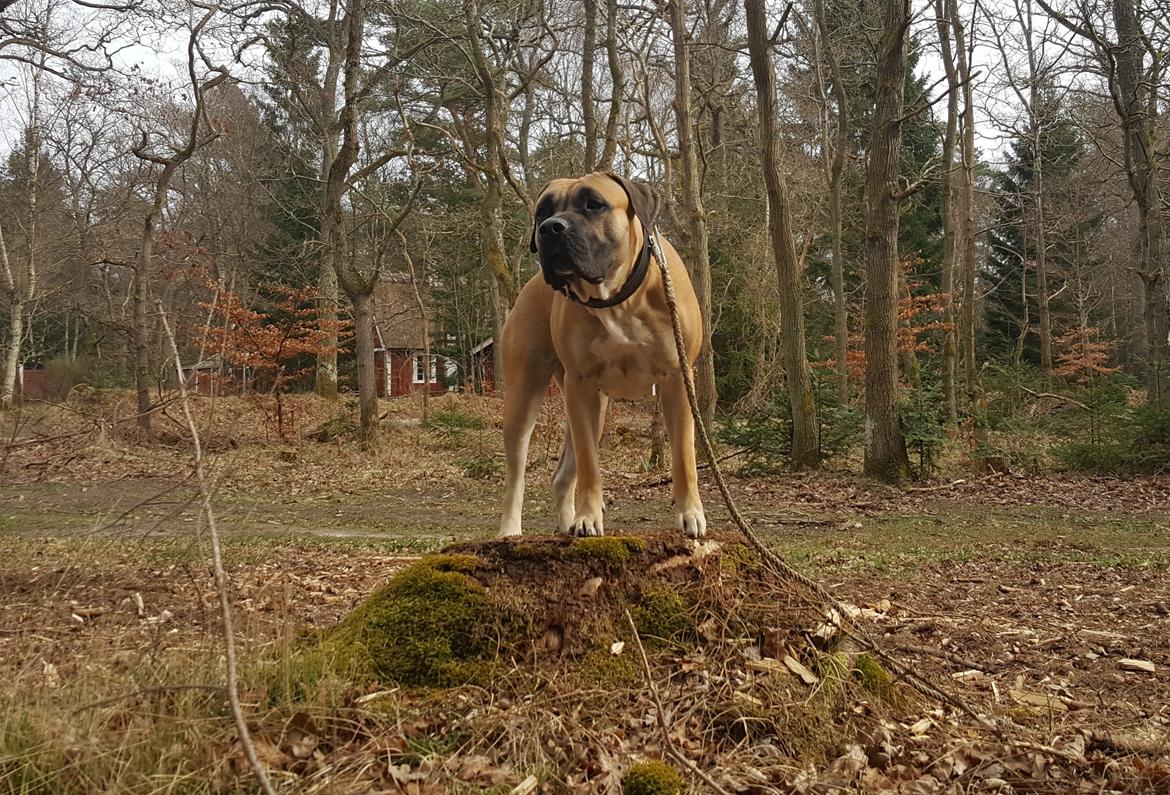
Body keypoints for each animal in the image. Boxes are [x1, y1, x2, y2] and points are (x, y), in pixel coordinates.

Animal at [493, 170, 702, 538]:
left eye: (594, 204)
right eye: (542, 211)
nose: (550, 228)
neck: (618, 298)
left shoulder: (678, 378)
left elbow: (683, 456)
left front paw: (690, 513)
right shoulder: (582, 386)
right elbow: (590, 465)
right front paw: (588, 517)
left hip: (592, 408)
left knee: (561, 476)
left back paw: (565, 526)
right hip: (524, 396)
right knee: (516, 476)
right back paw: (511, 531)